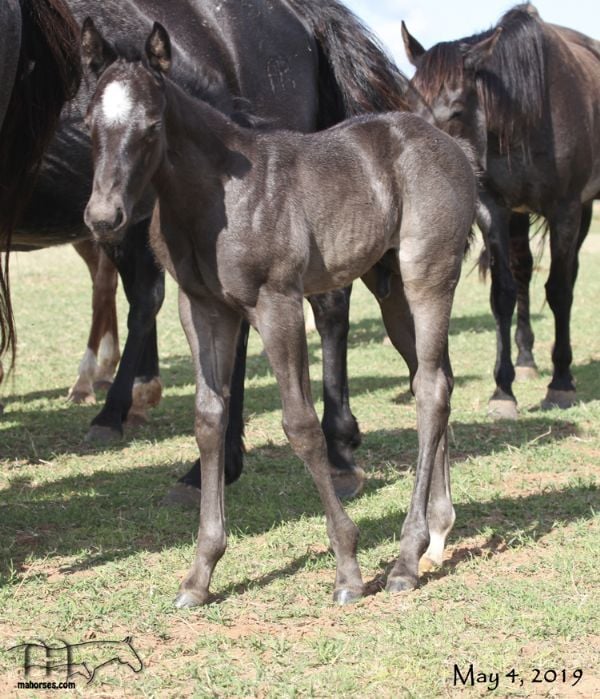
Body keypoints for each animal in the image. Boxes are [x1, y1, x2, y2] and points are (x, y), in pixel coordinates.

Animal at [84, 23, 478, 608]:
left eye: (152, 126)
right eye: (89, 122)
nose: (103, 217)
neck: (217, 195)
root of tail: (455, 146)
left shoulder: (277, 303)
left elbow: (301, 424)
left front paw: (348, 569)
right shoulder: (202, 308)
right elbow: (208, 419)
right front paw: (199, 575)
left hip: (428, 276)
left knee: (429, 389)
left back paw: (406, 560)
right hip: (392, 293)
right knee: (438, 380)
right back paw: (436, 537)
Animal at [404, 2, 600, 418]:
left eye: (456, 110)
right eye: (408, 104)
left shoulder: (566, 210)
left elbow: (559, 290)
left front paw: (561, 382)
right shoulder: (494, 209)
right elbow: (503, 294)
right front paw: (503, 390)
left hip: (583, 210)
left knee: (567, 275)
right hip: (519, 215)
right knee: (524, 272)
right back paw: (526, 360)